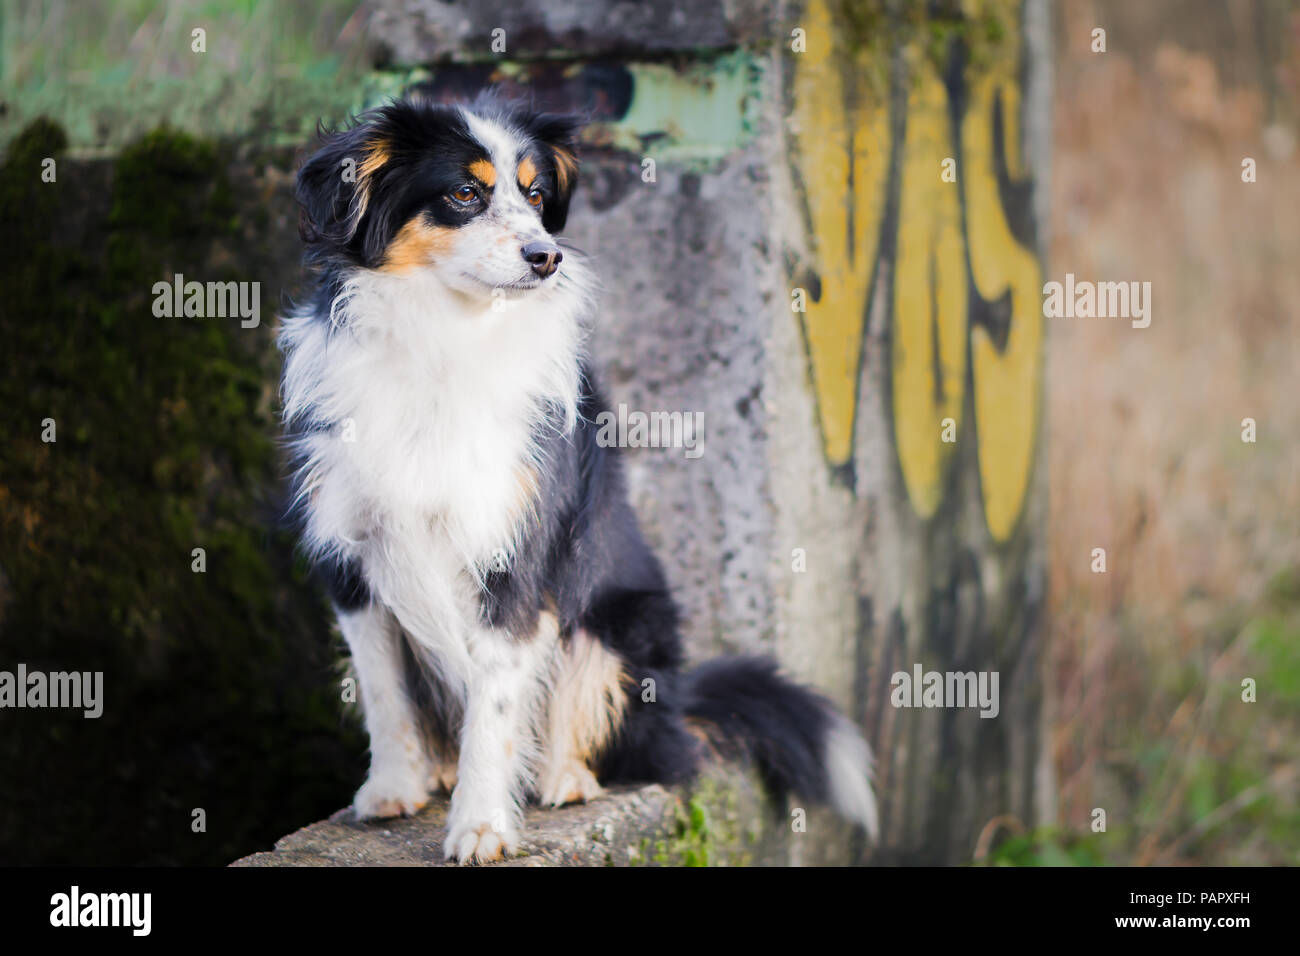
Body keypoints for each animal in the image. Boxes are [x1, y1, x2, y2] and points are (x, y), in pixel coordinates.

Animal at [279, 93, 878, 863]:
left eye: (537, 196)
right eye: (465, 194)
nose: (548, 257)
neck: (446, 335)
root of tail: (678, 714)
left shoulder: (515, 558)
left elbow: (495, 708)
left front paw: (481, 825)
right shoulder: (353, 558)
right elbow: (386, 698)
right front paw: (391, 791)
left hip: (619, 626)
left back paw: (563, 779)